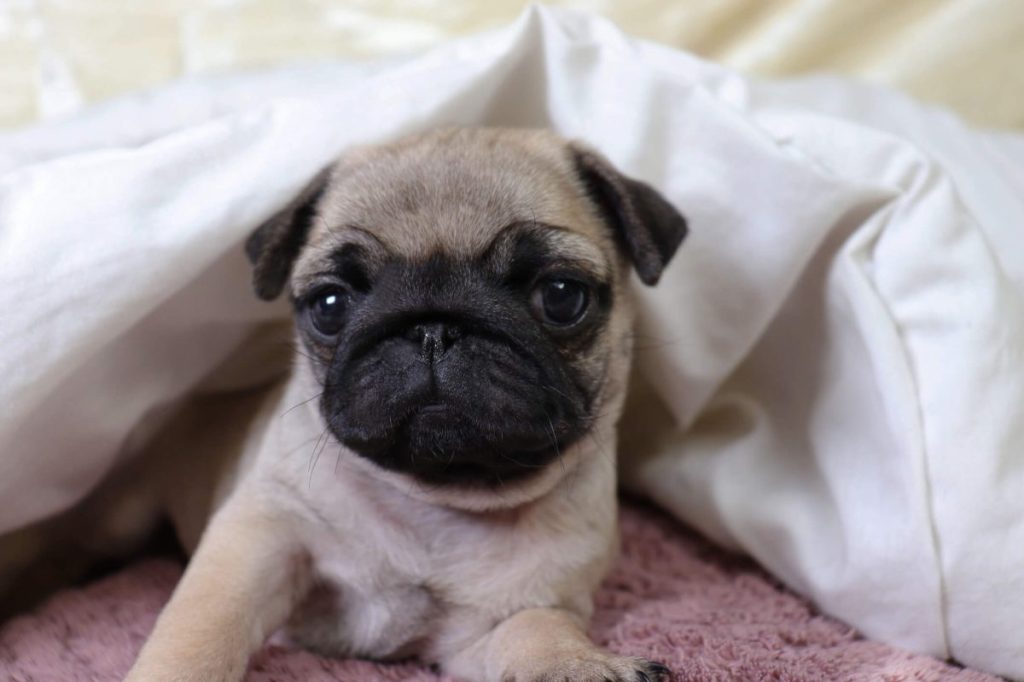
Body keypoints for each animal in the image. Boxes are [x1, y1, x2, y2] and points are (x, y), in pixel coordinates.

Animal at [112, 127, 684, 679]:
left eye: (562, 296)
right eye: (329, 304)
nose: (433, 329)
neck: (437, 501)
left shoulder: (490, 625)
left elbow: (536, 626)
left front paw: (578, 663)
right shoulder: (261, 535)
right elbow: (202, 629)